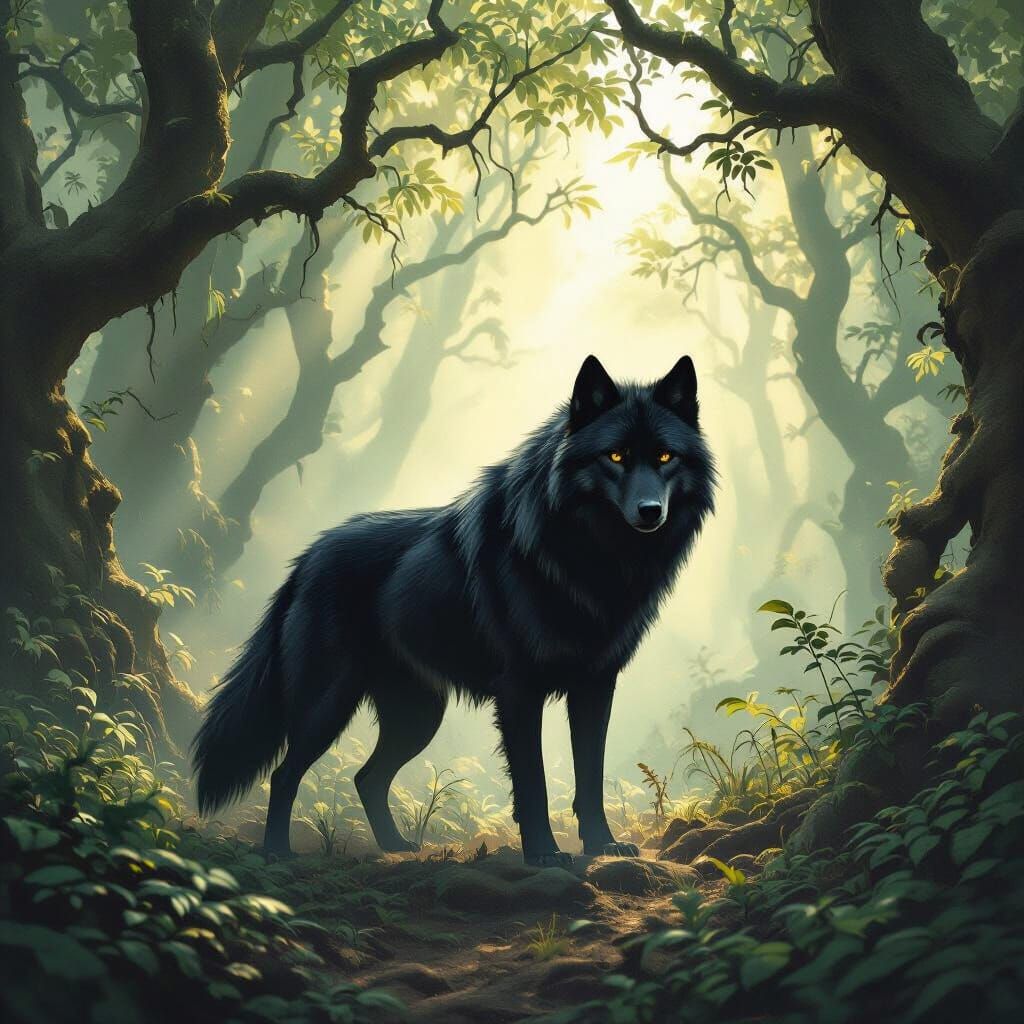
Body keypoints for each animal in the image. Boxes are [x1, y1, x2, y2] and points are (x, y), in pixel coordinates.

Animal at [193, 355, 714, 865]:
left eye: (664, 457)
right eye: (616, 456)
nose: (650, 511)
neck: (591, 560)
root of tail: (305, 558)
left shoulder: (595, 685)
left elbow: (590, 775)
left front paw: (604, 845)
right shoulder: (519, 691)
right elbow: (534, 782)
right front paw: (545, 854)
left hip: (418, 717)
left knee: (366, 777)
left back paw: (395, 846)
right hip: (331, 704)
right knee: (284, 775)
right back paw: (277, 853)